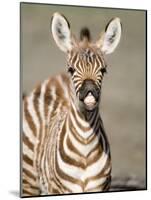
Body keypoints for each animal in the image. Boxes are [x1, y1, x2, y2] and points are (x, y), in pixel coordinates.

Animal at [21, 12, 122, 197]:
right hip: (29, 180)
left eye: (103, 70)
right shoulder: (58, 189)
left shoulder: (100, 187)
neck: (85, 146)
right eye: (71, 69)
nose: (89, 92)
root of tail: (55, 78)